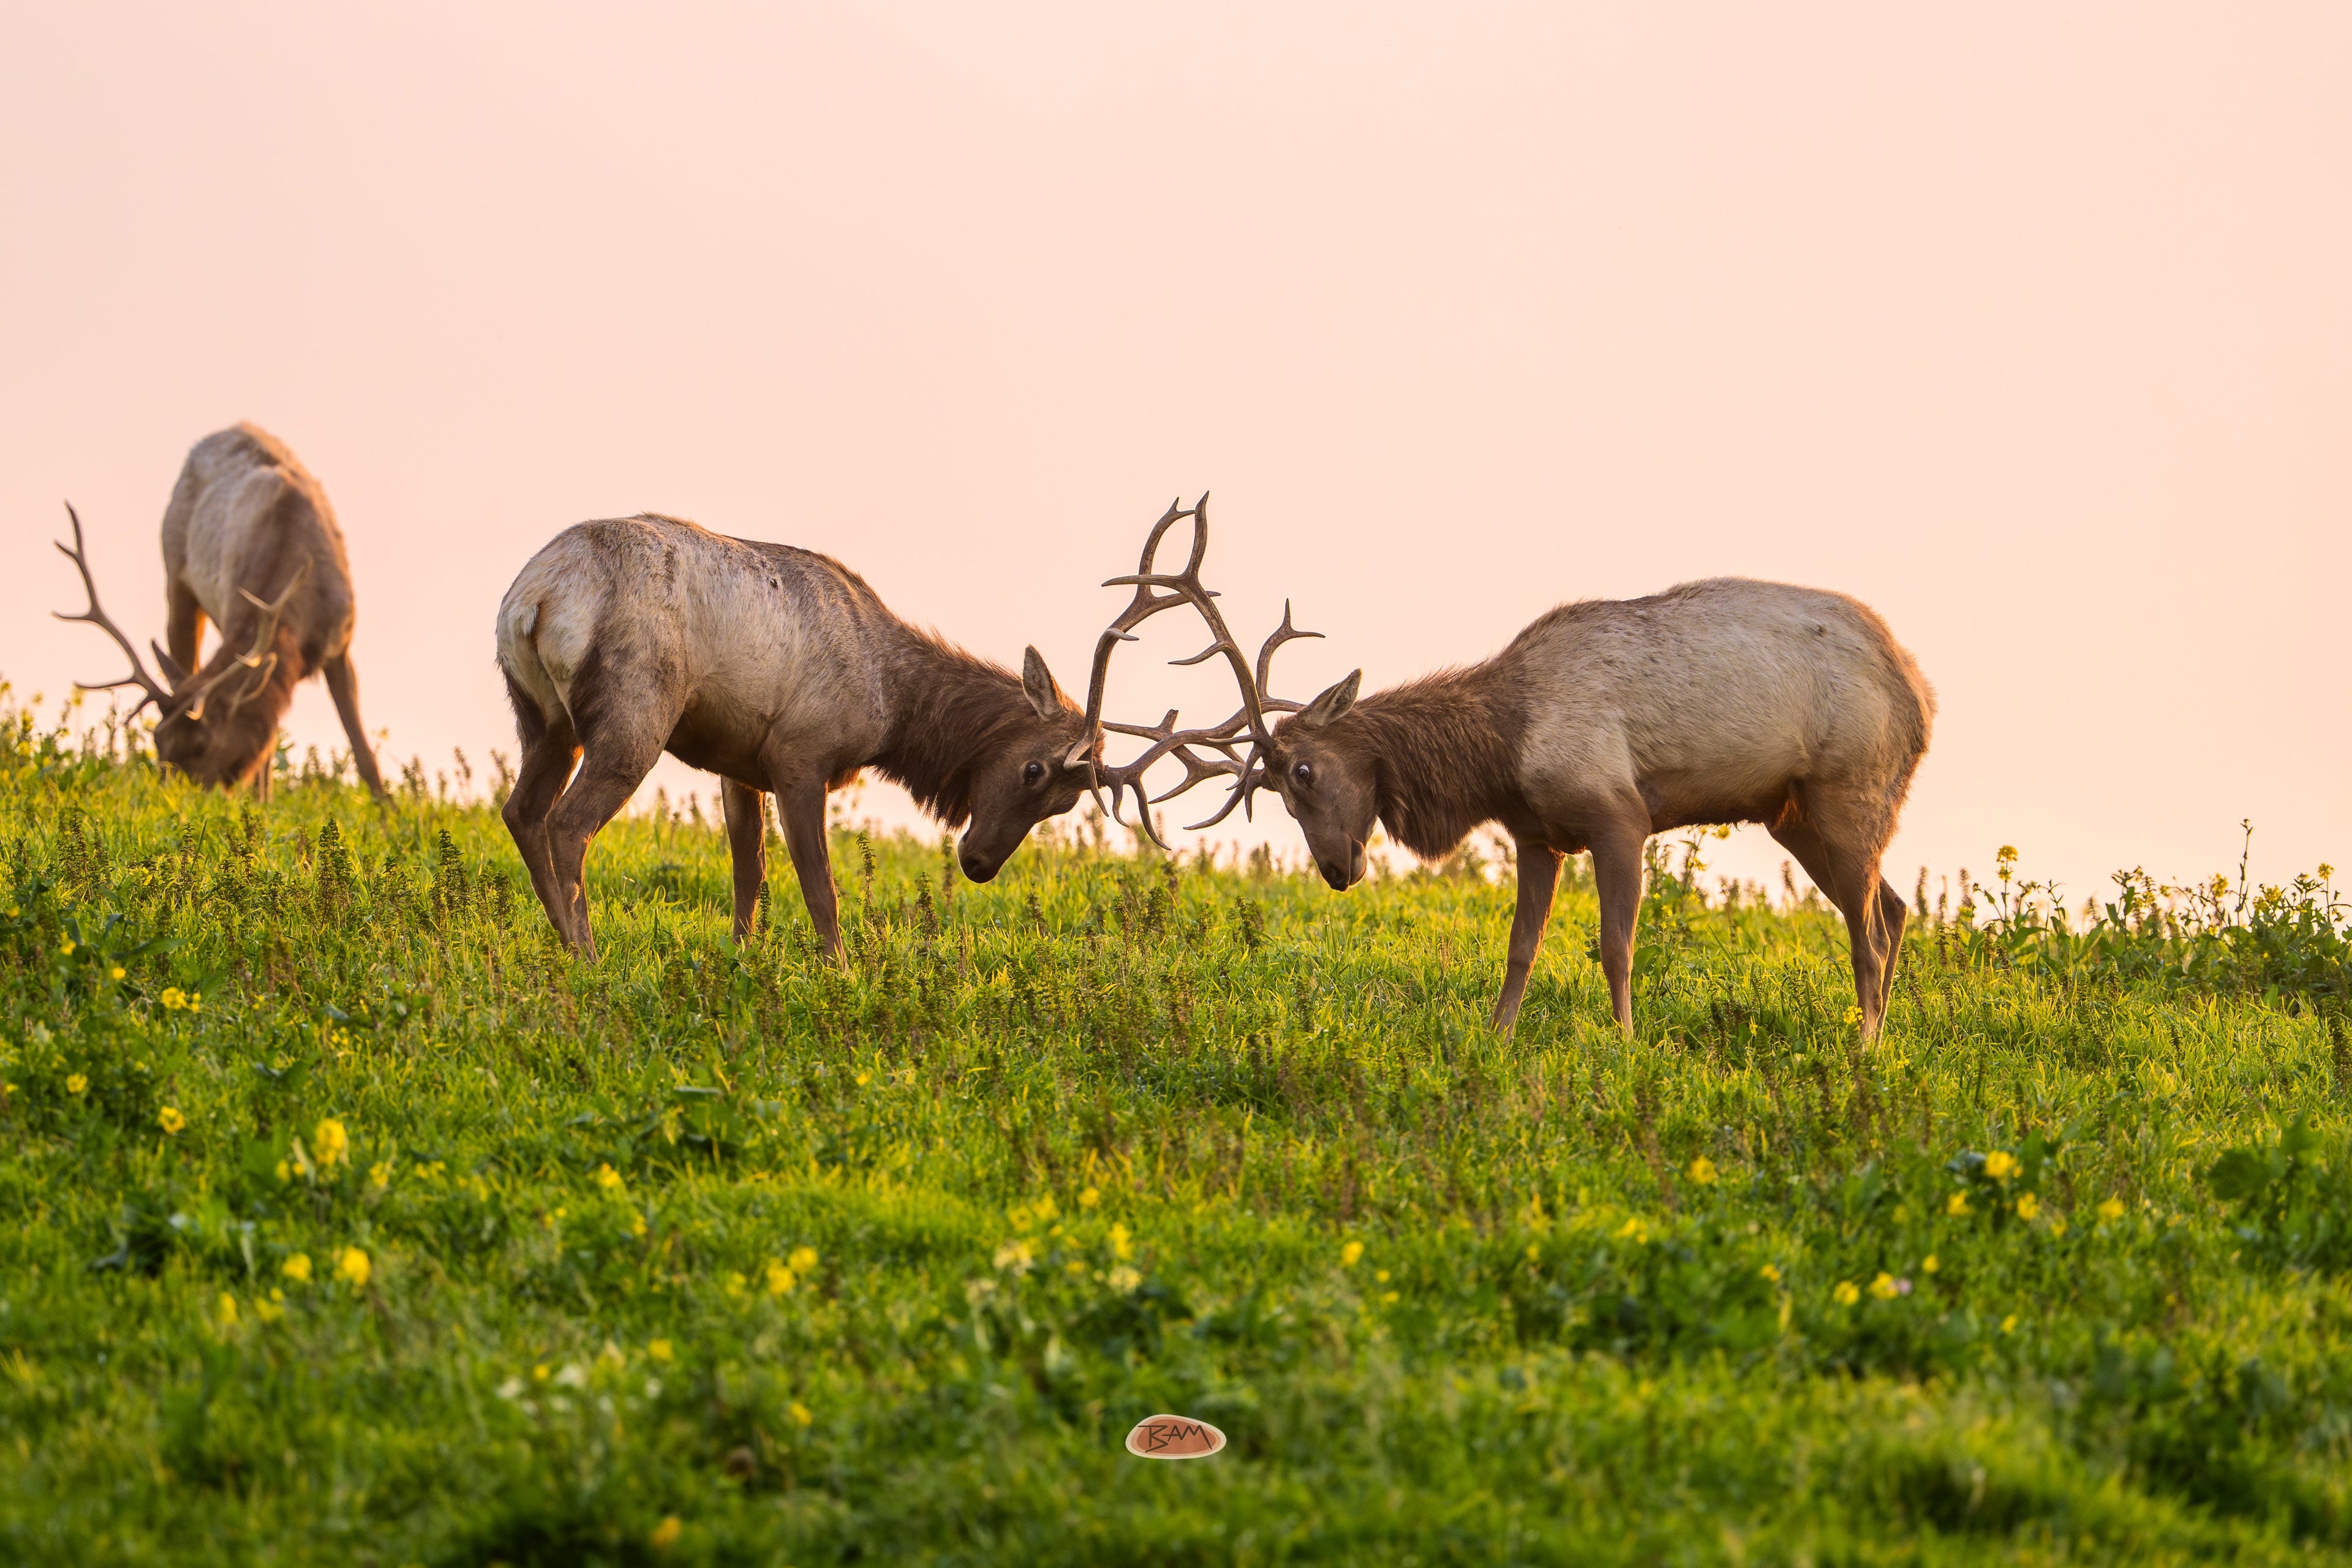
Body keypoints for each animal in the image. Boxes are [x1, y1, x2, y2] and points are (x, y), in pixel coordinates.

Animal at [51, 423, 388, 800]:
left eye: (202, 746)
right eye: (157, 739)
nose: (168, 800)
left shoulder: (341, 644)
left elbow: (364, 755)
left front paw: (387, 812)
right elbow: (266, 756)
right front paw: (262, 805)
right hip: (176, 578)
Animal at [493, 503, 1237, 961]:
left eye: (1064, 805)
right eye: (1035, 770)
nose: (978, 863)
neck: (893, 708)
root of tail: (535, 597)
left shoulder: (737, 761)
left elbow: (748, 872)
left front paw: (741, 956)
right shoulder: (799, 753)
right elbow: (820, 886)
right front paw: (841, 971)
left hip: (544, 719)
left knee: (521, 810)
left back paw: (560, 941)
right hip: (634, 711)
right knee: (568, 823)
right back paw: (588, 956)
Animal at [1172, 577, 1935, 1040]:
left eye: (1304, 770)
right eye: (1275, 791)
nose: (1337, 869)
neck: (1497, 753)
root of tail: (1920, 696)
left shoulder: (1619, 817)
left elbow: (1617, 947)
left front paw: (1625, 1041)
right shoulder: (1537, 837)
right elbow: (1521, 948)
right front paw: (1497, 1035)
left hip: (1848, 791)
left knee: (1868, 932)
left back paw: (1865, 1047)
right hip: (1796, 816)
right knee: (1896, 908)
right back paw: (1878, 1031)